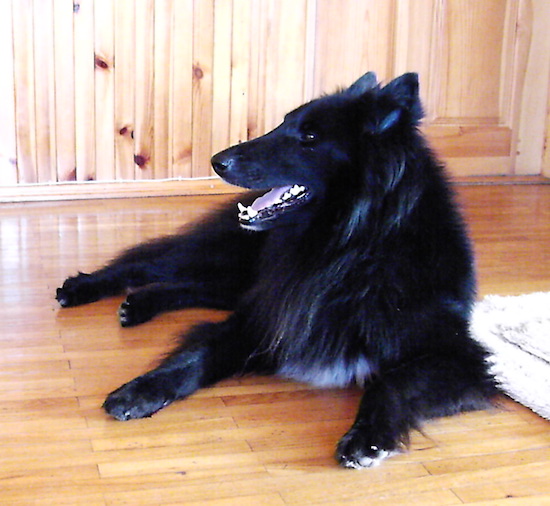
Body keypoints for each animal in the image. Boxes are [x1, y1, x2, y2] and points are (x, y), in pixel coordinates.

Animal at [57, 73, 500, 468]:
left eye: (310, 138)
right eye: (284, 123)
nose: (216, 161)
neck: (349, 249)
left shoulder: (459, 358)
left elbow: (393, 383)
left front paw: (368, 438)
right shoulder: (268, 318)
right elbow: (195, 356)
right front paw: (140, 391)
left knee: (188, 284)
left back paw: (139, 304)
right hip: (232, 260)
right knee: (145, 263)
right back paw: (84, 288)